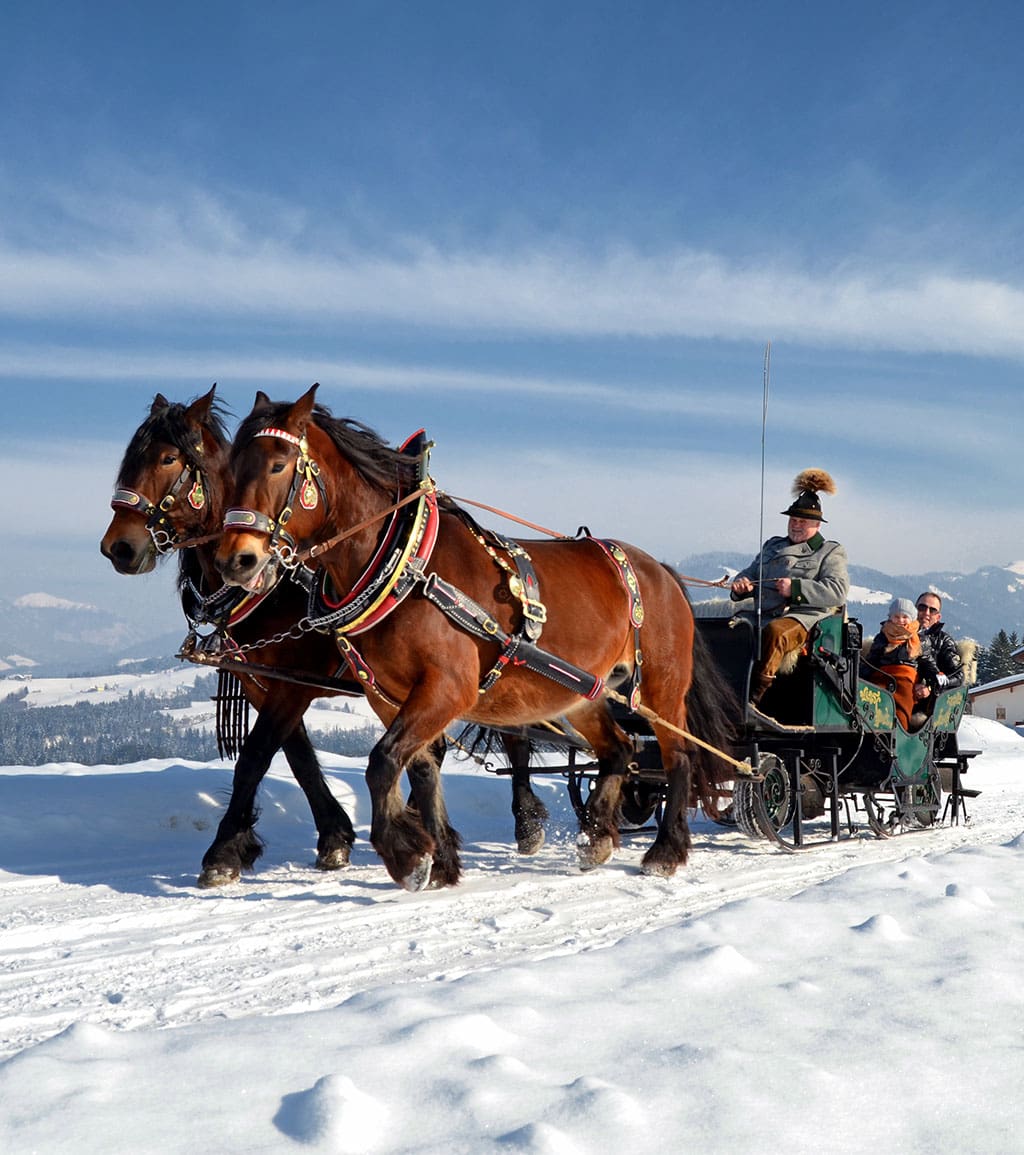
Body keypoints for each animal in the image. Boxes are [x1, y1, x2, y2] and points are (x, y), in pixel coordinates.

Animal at [215, 383, 734, 887]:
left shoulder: (448, 687)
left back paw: (665, 851)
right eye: (230, 470)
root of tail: (660, 571)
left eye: (278, 464)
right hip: (581, 691)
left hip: (662, 684)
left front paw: (405, 855)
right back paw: (597, 837)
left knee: (678, 754)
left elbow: (382, 762)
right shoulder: (387, 695)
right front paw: (440, 859)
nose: (234, 560)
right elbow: (419, 767)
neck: (405, 565)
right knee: (620, 749)